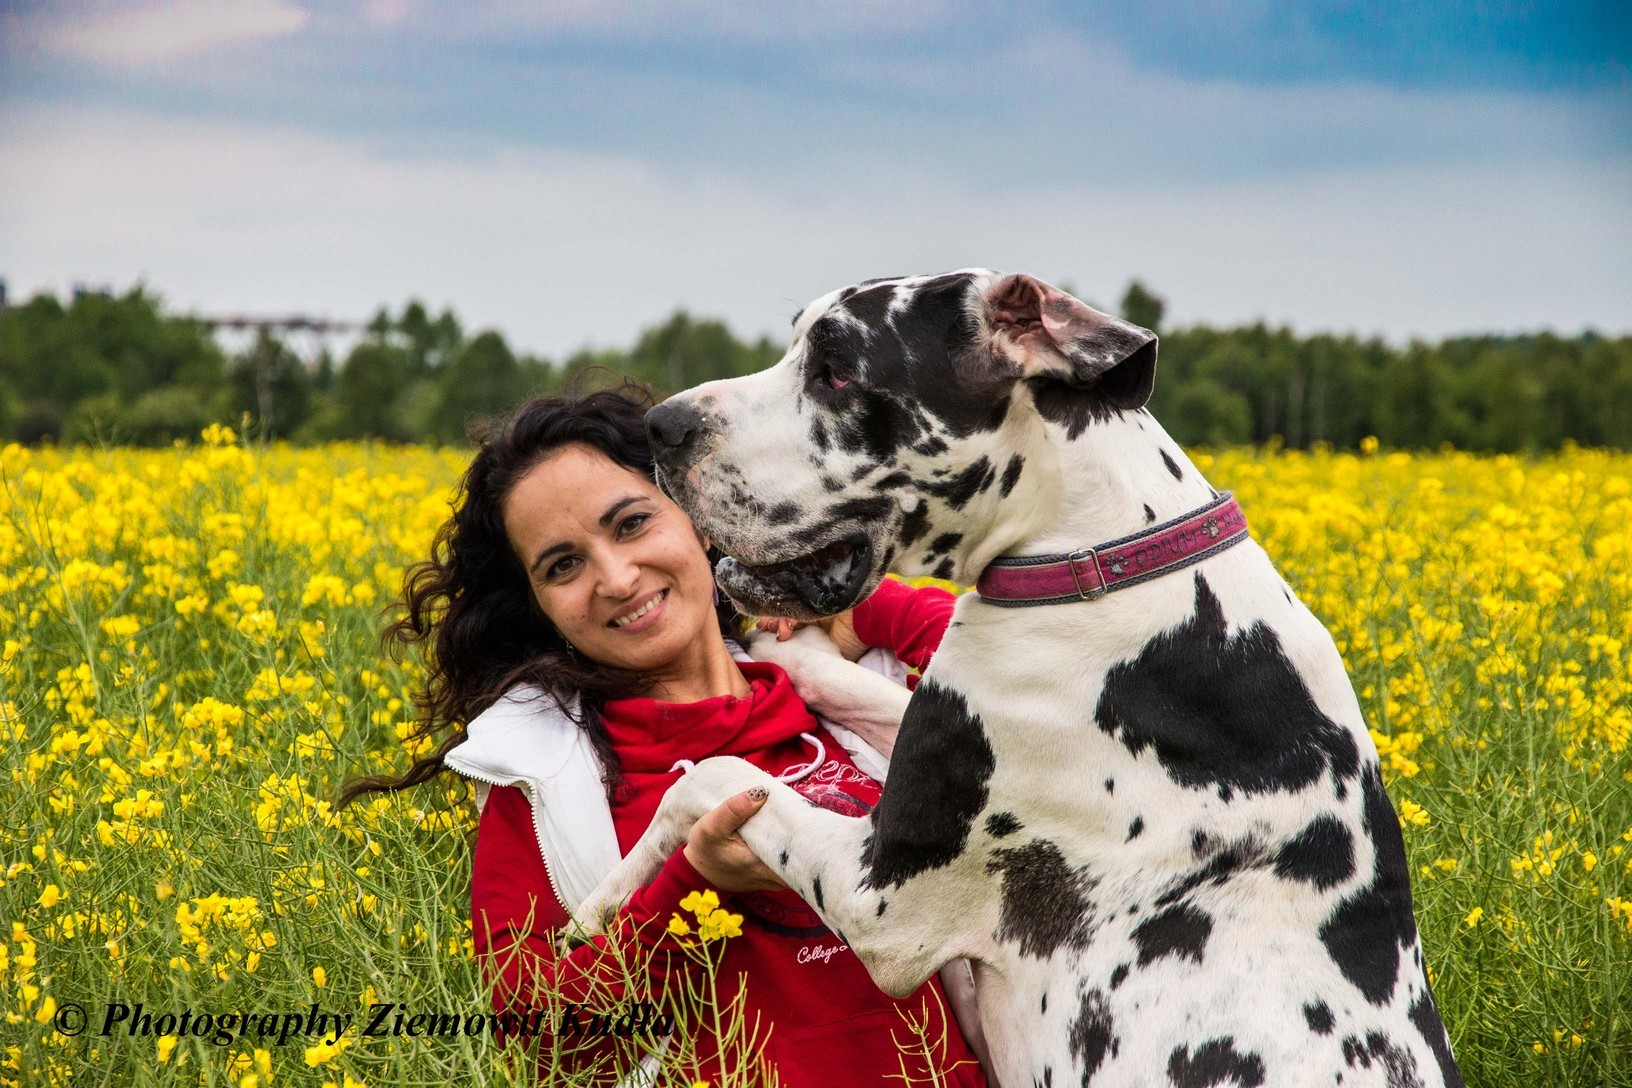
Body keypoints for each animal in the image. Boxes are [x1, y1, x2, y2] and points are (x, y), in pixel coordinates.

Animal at [577, 270, 1468, 1088]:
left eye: (834, 370)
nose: (661, 425)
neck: (1101, 558)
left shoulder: (882, 898)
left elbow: (713, 778)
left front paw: (598, 906)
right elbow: (871, 691)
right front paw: (796, 652)